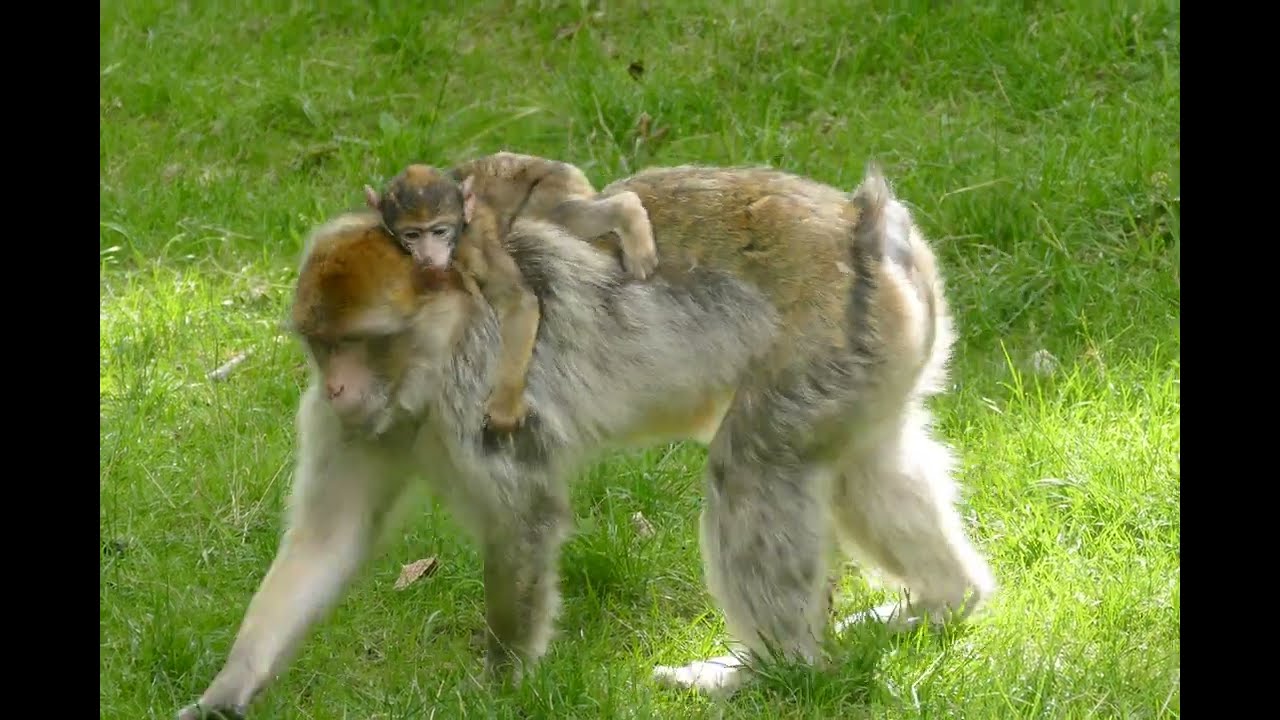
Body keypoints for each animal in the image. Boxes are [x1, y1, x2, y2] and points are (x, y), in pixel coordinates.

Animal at [362, 152, 659, 432]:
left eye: (439, 231)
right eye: (412, 235)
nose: (427, 255)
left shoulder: (473, 245)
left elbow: (518, 300)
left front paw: (503, 405)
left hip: (554, 184)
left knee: (559, 216)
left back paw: (627, 210)